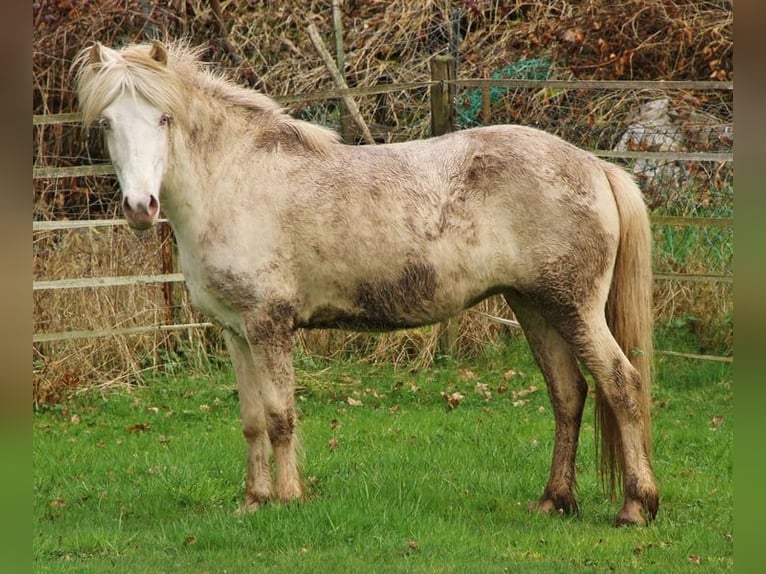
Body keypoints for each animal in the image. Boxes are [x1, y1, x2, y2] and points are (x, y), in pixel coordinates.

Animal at [73, 39, 658, 526]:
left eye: (164, 118)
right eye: (106, 124)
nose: (140, 207)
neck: (233, 180)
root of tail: (594, 166)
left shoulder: (268, 326)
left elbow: (280, 415)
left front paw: (288, 499)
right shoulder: (237, 332)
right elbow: (251, 420)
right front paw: (253, 501)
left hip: (573, 307)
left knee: (621, 384)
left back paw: (635, 507)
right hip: (534, 305)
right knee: (568, 394)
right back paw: (553, 500)